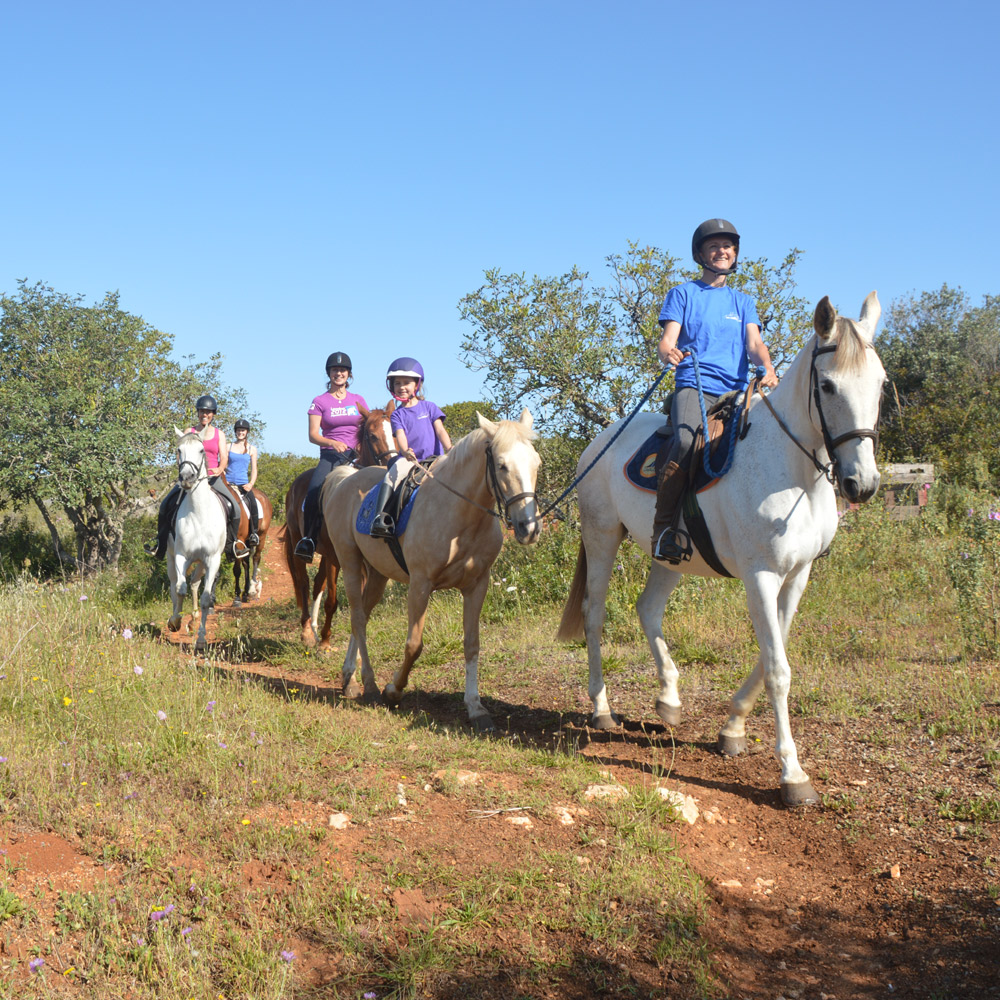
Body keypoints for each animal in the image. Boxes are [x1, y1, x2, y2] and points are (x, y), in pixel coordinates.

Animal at [166, 426, 229, 653]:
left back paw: (193, 621)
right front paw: (175, 622)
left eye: (202, 450)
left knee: (194, 584)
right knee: (175, 585)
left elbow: (205, 598)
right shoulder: (181, 556)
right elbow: (180, 589)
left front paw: (201, 639)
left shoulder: (212, 560)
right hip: (170, 557)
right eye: (179, 450)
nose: (186, 477)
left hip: (202, 563)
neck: (199, 512)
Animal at [282, 405, 396, 648]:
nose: (391, 466)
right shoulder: (336, 556)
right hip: (299, 543)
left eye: (393, 432)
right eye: (372, 435)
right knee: (304, 583)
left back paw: (315, 629)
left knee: (317, 583)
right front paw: (326, 642)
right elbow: (332, 600)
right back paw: (307, 632)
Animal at [324, 409, 541, 731]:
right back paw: (369, 685)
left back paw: (349, 678)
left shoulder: (477, 586)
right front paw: (393, 690)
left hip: (377, 574)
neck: (461, 516)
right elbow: (414, 645)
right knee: (358, 619)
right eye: (502, 466)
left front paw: (476, 708)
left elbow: (472, 644)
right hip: (350, 563)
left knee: (361, 615)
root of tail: (346, 480)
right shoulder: (420, 585)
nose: (530, 528)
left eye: (536, 463)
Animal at [557, 293, 885, 806]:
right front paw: (793, 775)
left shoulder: (797, 575)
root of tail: (598, 443)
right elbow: (778, 669)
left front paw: (731, 729)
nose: (862, 484)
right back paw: (602, 709)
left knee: (648, 609)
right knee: (594, 614)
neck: (792, 471)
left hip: (670, 554)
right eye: (828, 385)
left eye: (881, 384)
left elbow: (772, 654)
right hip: (601, 535)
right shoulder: (760, 576)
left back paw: (669, 700)